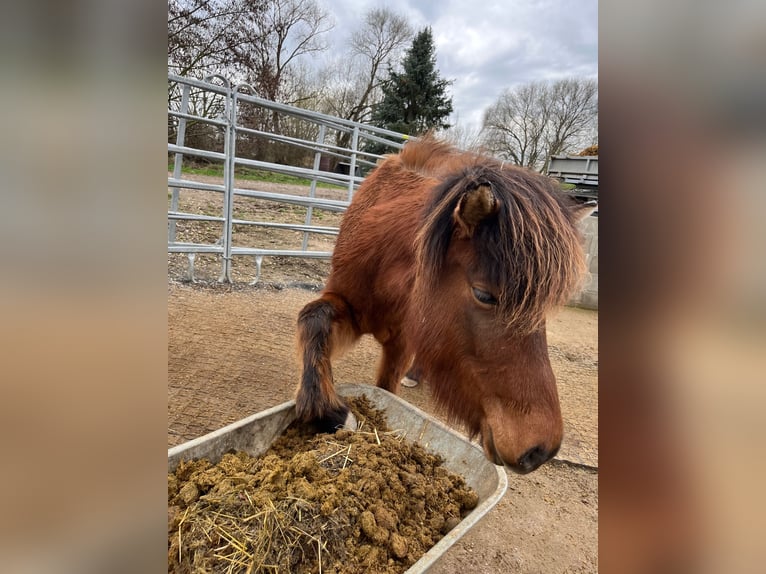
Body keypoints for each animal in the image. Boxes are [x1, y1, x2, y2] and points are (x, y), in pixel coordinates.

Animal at [296, 137, 592, 474]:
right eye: (484, 295)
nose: (540, 450)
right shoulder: (347, 303)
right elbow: (313, 320)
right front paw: (331, 414)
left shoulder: (402, 342)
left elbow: (386, 389)